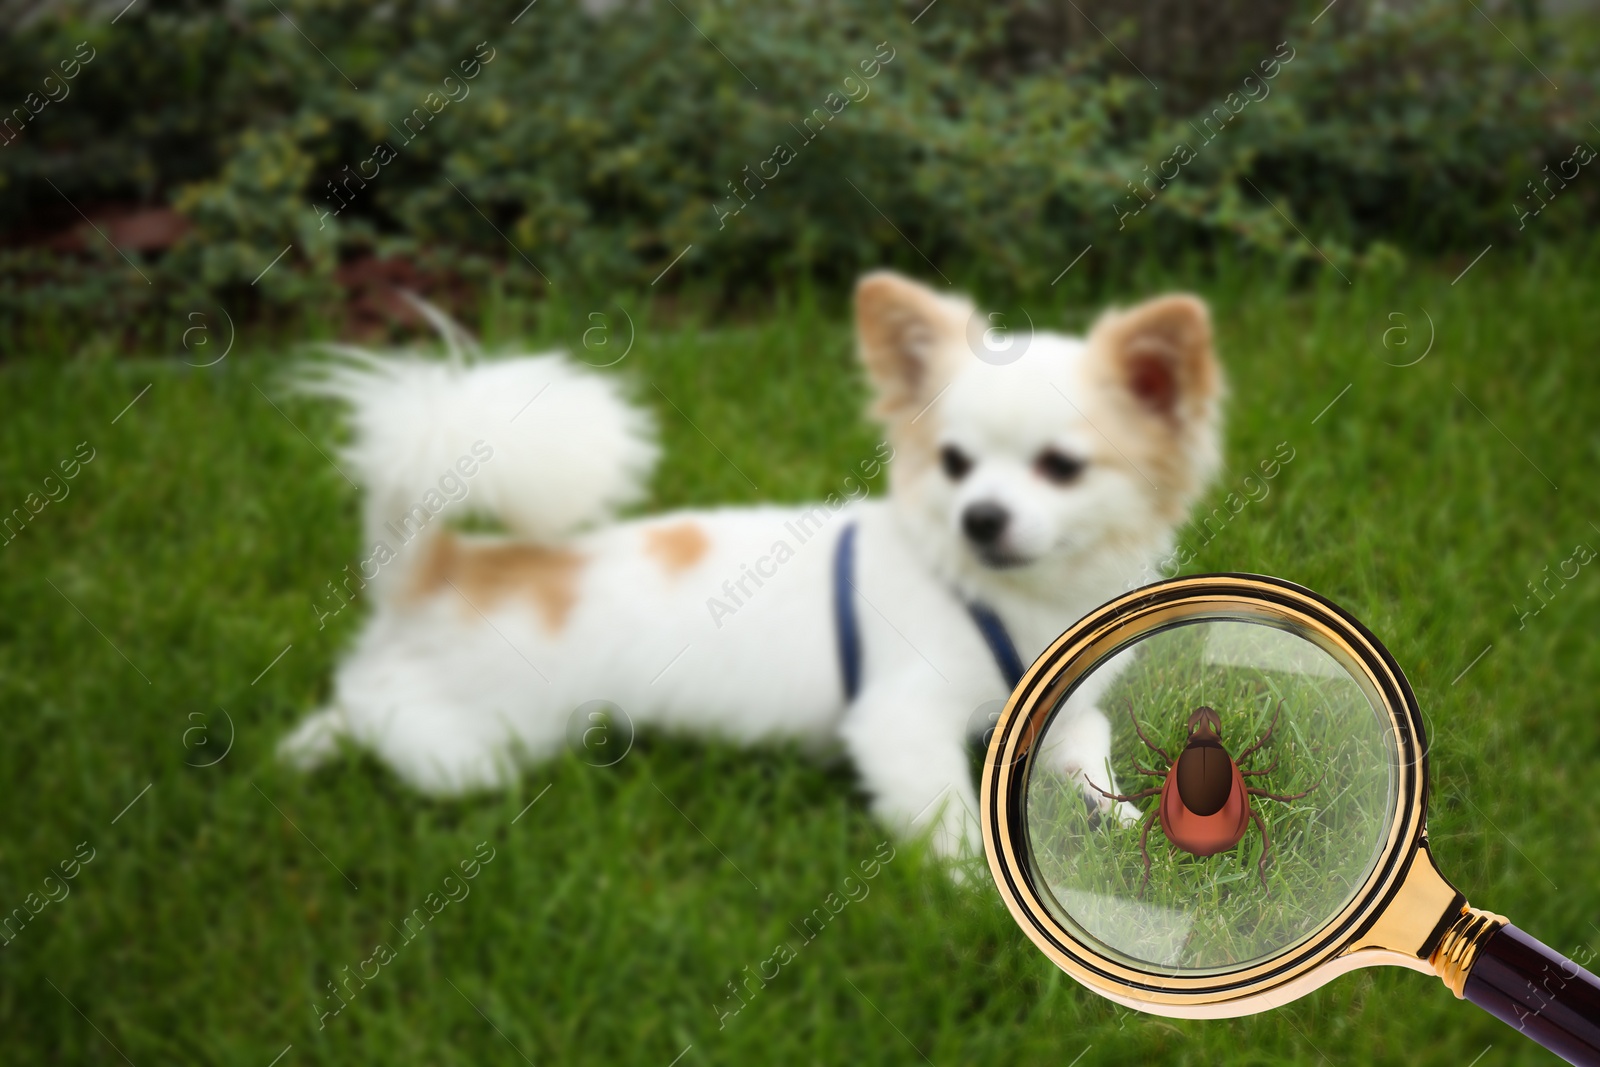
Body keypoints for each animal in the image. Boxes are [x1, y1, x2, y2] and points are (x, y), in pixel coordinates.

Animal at [281, 273, 1216, 857]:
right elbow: (948, 814)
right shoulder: (900, 723)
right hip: (473, 743)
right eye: (954, 464)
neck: (1003, 596)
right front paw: (973, 884)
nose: (979, 517)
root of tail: (443, 566)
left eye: (1061, 467)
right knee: (386, 721)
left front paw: (1134, 828)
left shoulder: (1064, 716)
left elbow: (1094, 771)